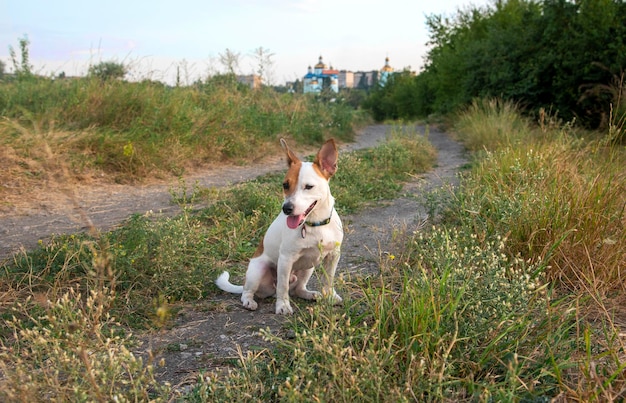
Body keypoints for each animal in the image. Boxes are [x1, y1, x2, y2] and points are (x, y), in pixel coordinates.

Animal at [214, 139, 342, 316]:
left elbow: (329, 280)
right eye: (285, 185)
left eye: (308, 187)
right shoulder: (286, 259)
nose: (286, 208)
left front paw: (330, 296)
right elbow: (283, 287)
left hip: (308, 268)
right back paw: (249, 301)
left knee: (298, 289)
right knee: (249, 291)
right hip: (257, 271)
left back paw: (310, 294)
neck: (314, 224)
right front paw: (282, 306)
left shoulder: (334, 255)